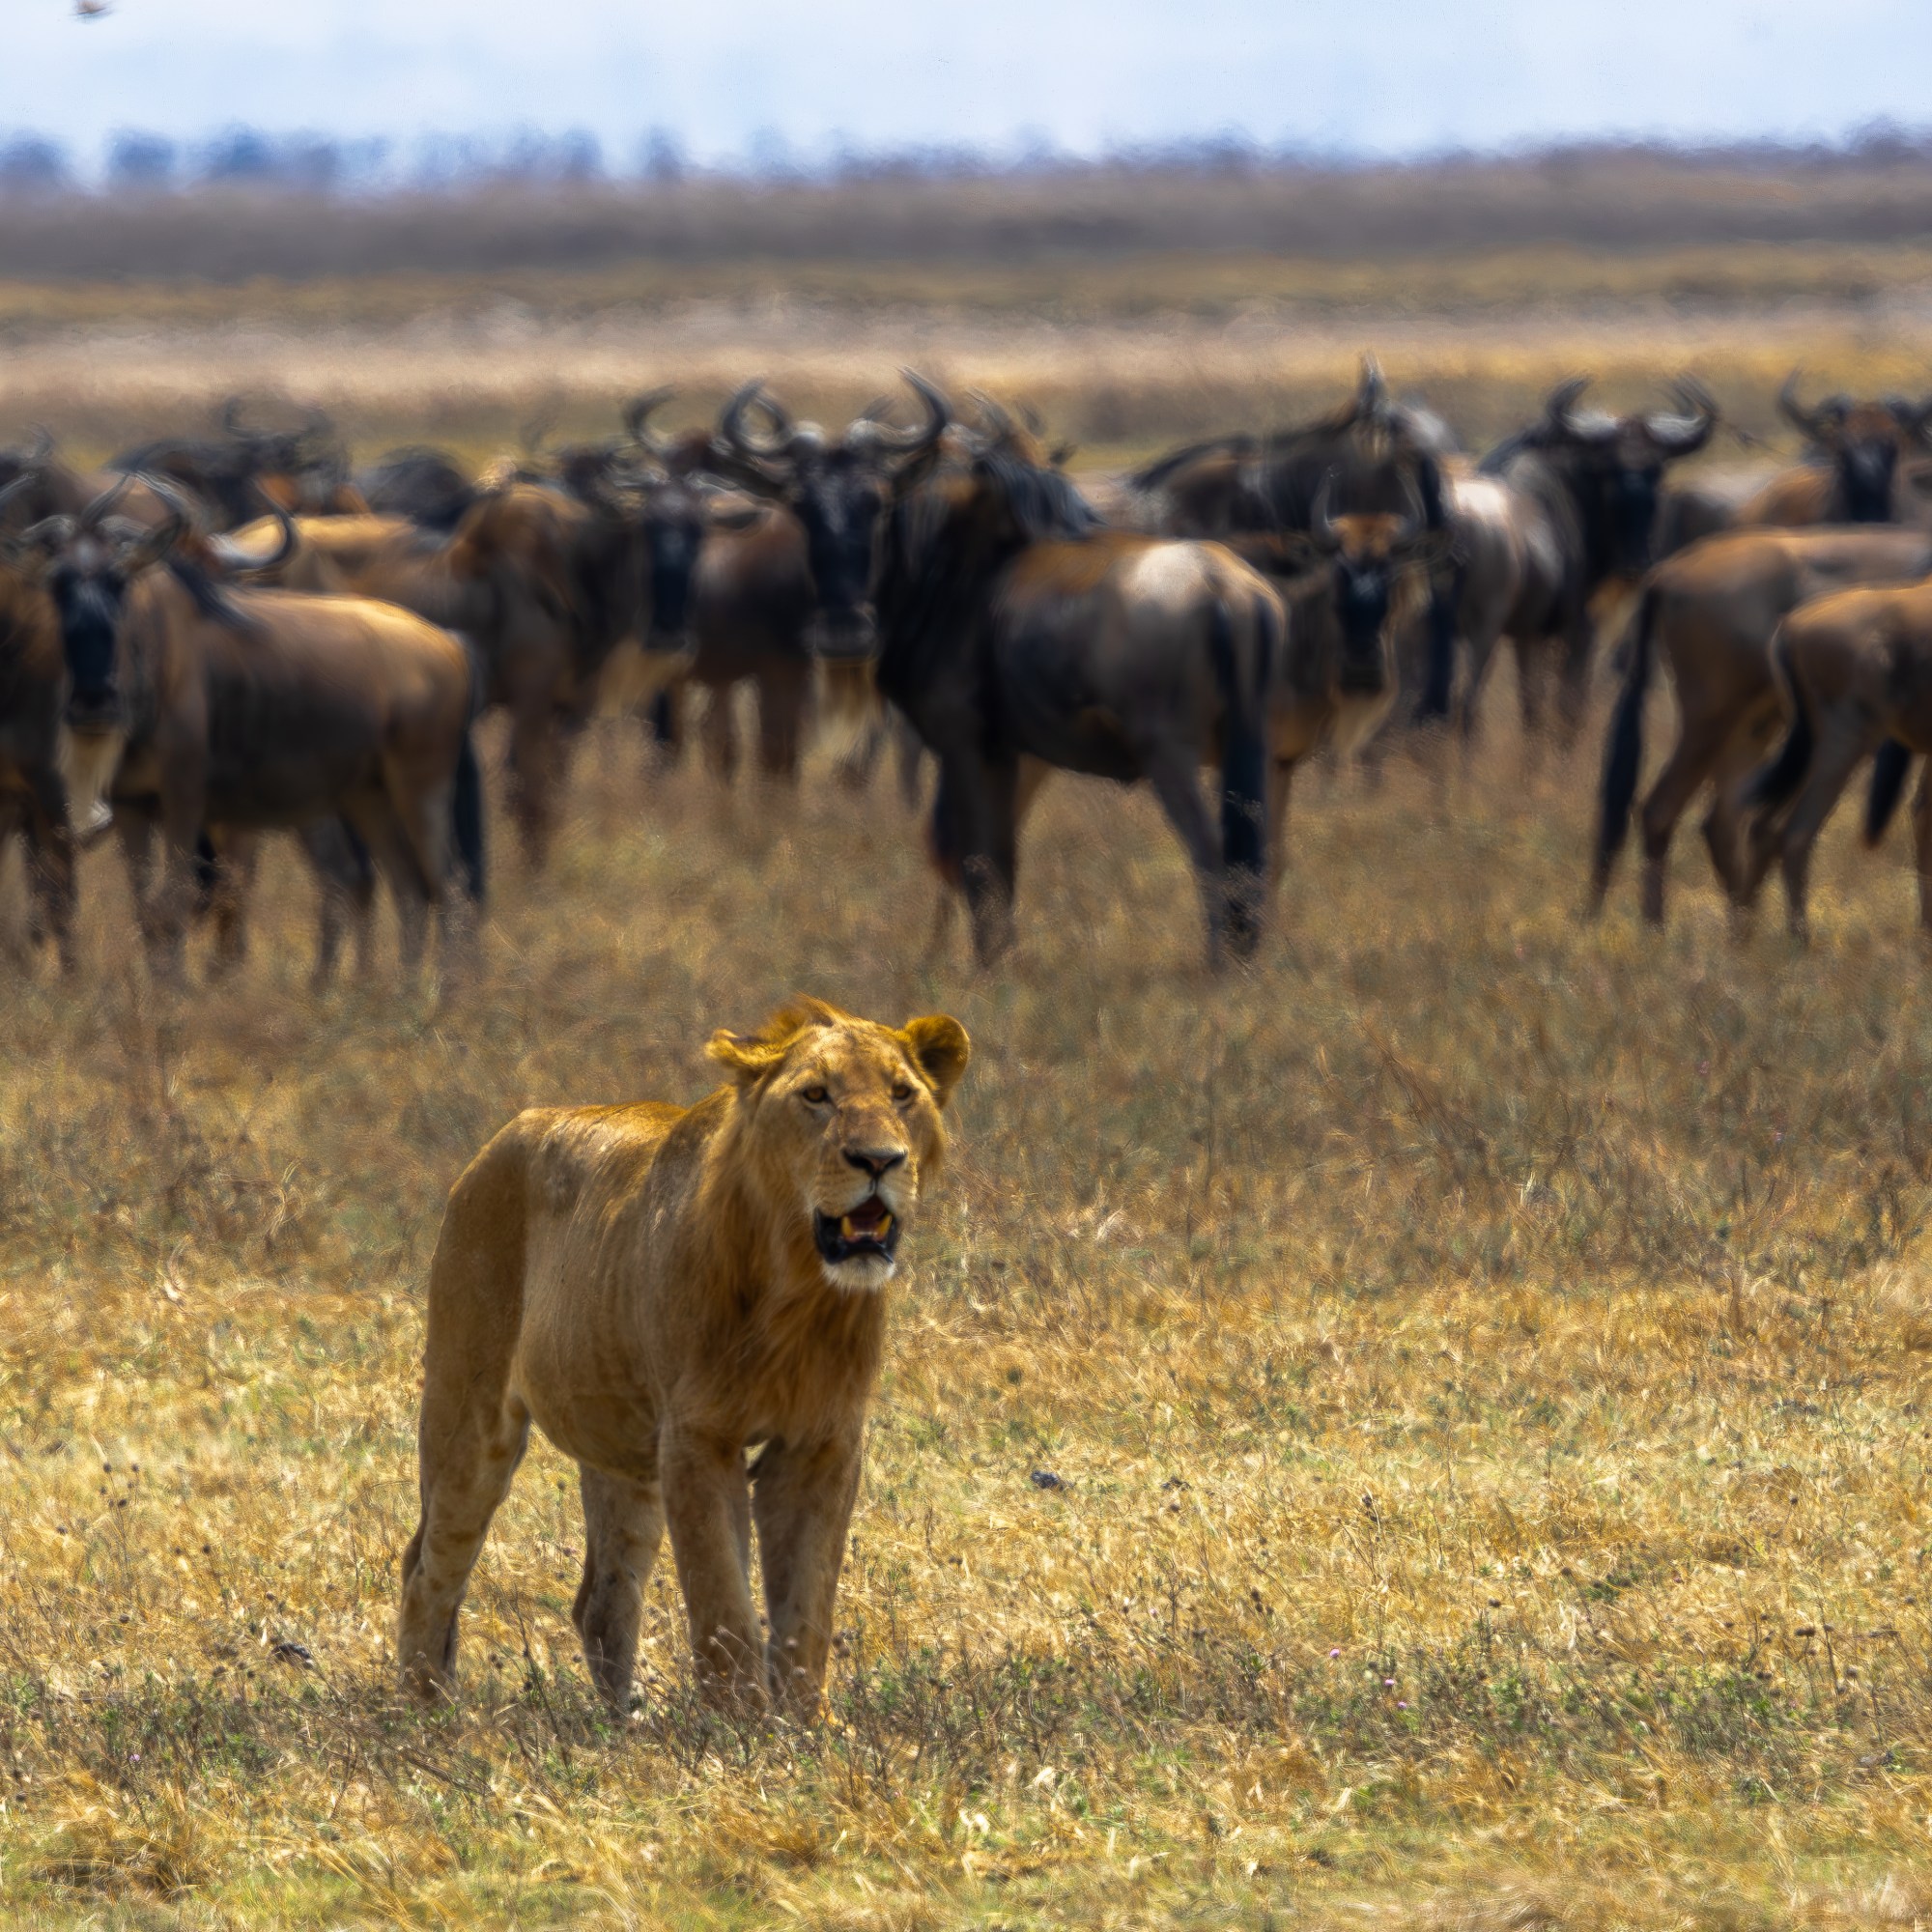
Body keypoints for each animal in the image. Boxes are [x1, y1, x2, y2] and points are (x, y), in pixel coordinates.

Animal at [397, 995, 971, 1715]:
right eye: (816, 1095)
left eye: (903, 1094)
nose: (878, 1160)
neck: (797, 1287)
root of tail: (496, 1141)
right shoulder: (698, 1437)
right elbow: (722, 1602)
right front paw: (743, 1724)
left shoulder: (824, 1439)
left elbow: (807, 1606)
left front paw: (806, 1723)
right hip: (469, 1412)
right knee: (427, 1564)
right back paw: (426, 1709)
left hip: (624, 1449)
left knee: (601, 1599)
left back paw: (625, 1723)